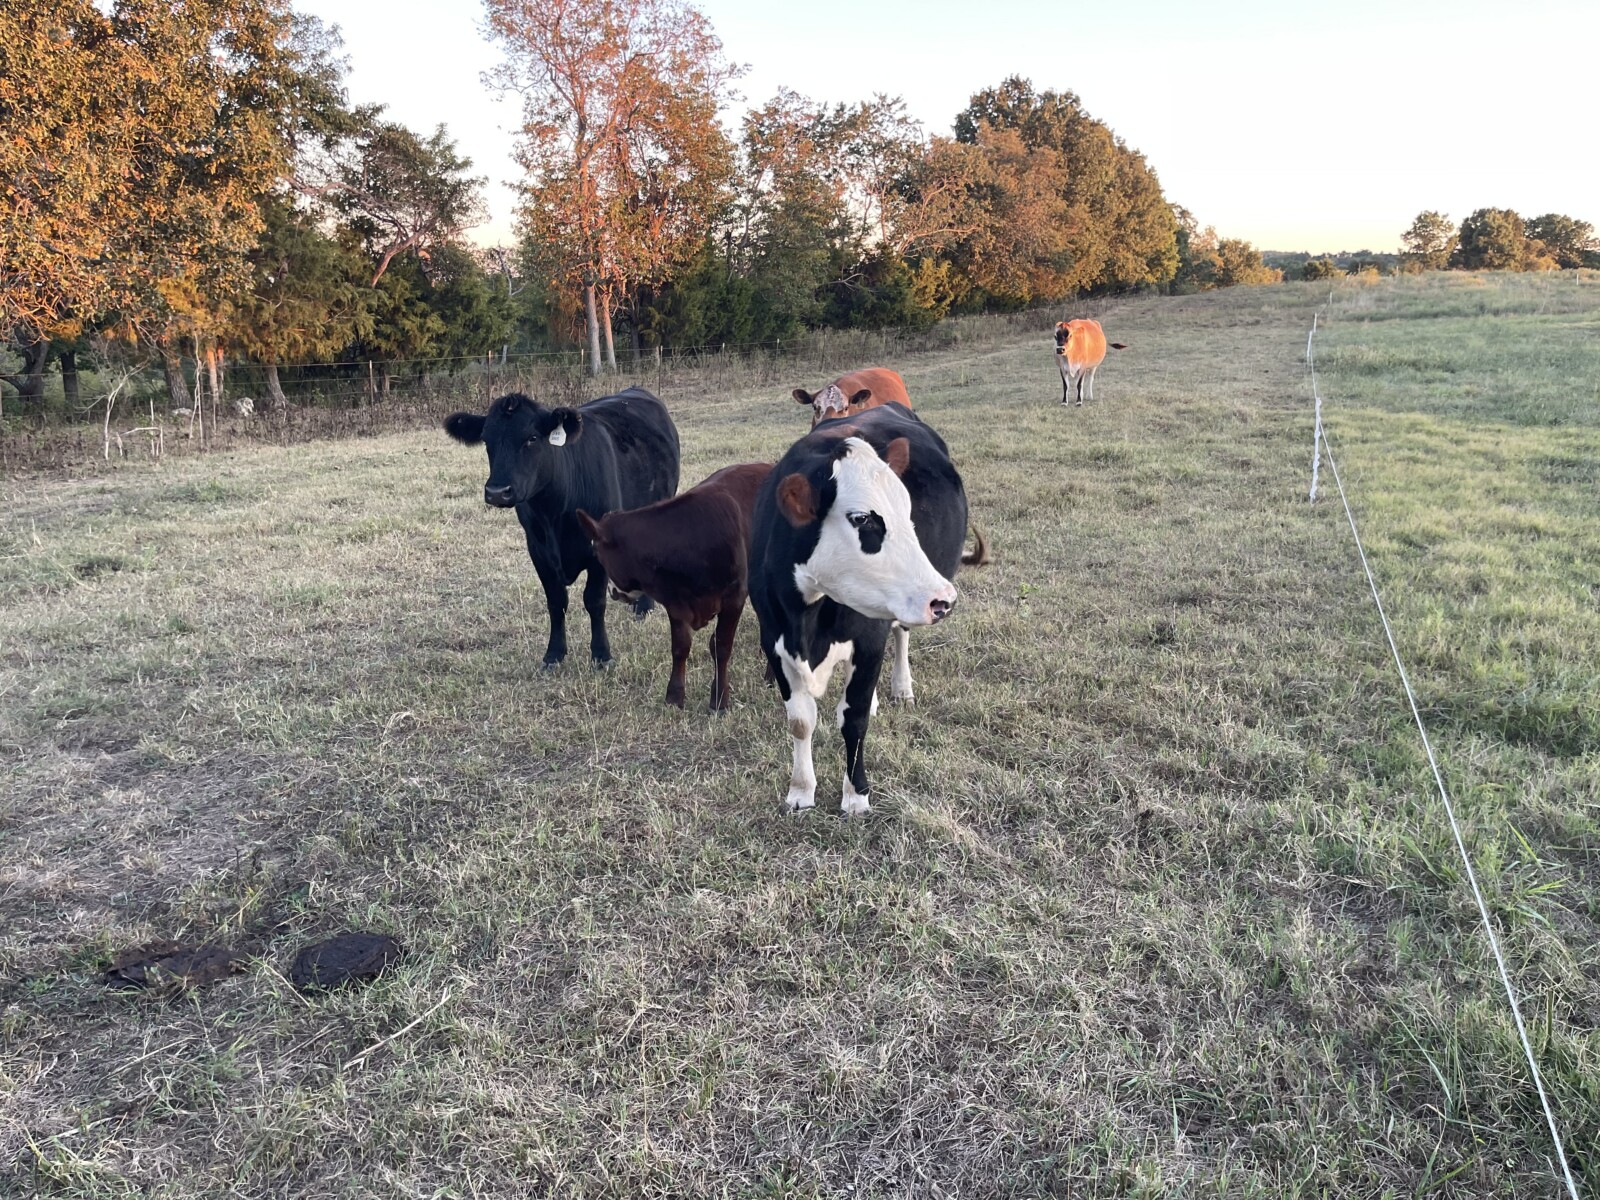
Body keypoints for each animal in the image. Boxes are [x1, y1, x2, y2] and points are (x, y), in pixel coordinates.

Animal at [443, 388, 680, 668]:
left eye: (532, 438)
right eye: (486, 440)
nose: (497, 492)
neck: (555, 512)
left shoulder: (597, 548)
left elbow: (594, 601)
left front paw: (601, 655)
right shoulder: (538, 550)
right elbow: (556, 602)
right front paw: (554, 654)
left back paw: (644, 606)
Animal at [575, 461, 773, 711]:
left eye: (595, 551)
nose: (613, 592)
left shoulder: (734, 596)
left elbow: (721, 646)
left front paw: (719, 700)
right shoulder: (676, 602)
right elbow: (680, 647)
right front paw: (674, 696)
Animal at [750, 402, 982, 815]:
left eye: (908, 511)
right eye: (862, 519)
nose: (944, 598)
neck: (806, 621)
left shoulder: (869, 639)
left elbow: (853, 719)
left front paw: (856, 796)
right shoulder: (773, 641)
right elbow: (800, 721)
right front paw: (800, 791)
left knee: (901, 635)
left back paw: (901, 687)